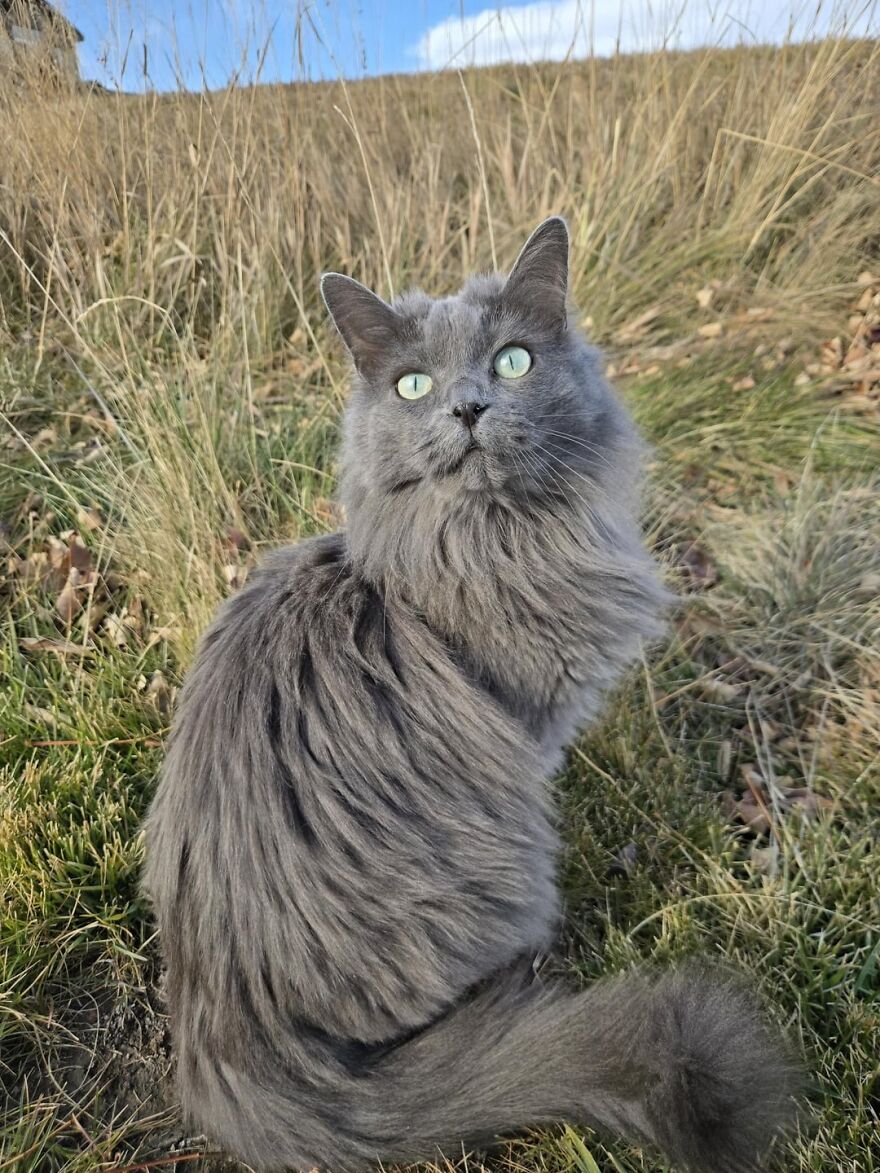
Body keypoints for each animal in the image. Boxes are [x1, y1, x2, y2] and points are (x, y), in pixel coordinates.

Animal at [143, 220, 797, 1173]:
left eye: (512, 362)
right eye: (414, 384)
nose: (468, 408)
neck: (492, 540)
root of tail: (220, 1021)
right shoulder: (532, 721)